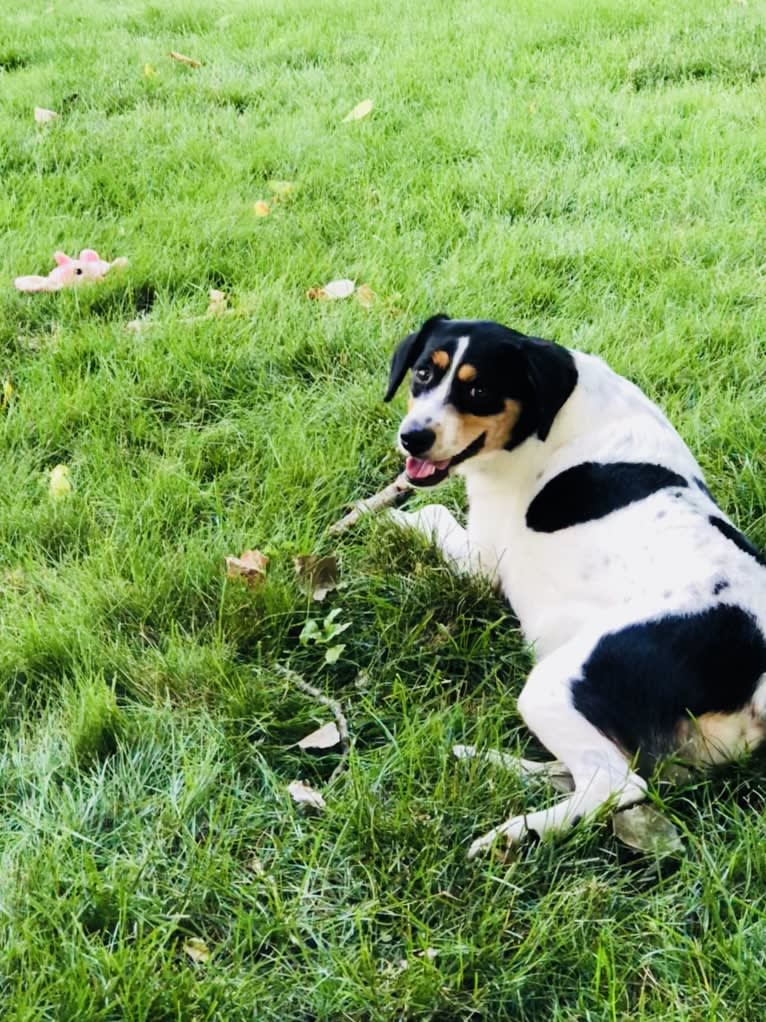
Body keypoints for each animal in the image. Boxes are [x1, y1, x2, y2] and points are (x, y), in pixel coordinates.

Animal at [386, 310, 766, 854]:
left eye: (478, 391)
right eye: (422, 374)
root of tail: (754, 670)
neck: (554, 415)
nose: (412, 437)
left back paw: (511, 833)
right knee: (592, 770)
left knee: (617, 784)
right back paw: (487, 762)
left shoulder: (480, 562)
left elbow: (431, 512)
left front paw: (386, 517)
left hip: (554, 683)